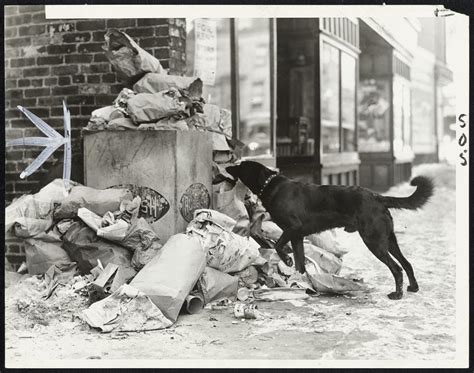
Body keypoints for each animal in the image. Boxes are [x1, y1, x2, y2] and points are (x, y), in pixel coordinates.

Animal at [226, 160, 434, 300]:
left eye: (240, 165)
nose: (227, 166)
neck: (270, 184)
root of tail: (377, 197)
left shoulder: (293, 228)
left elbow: (278, 245)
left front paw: (286, 259)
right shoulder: (297, 236)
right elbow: (300, 262)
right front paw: (301, 282)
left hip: (374, 241)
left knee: (397, 268)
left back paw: (397, 294)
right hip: (388, 239)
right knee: (406, 264)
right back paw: (413, 288)